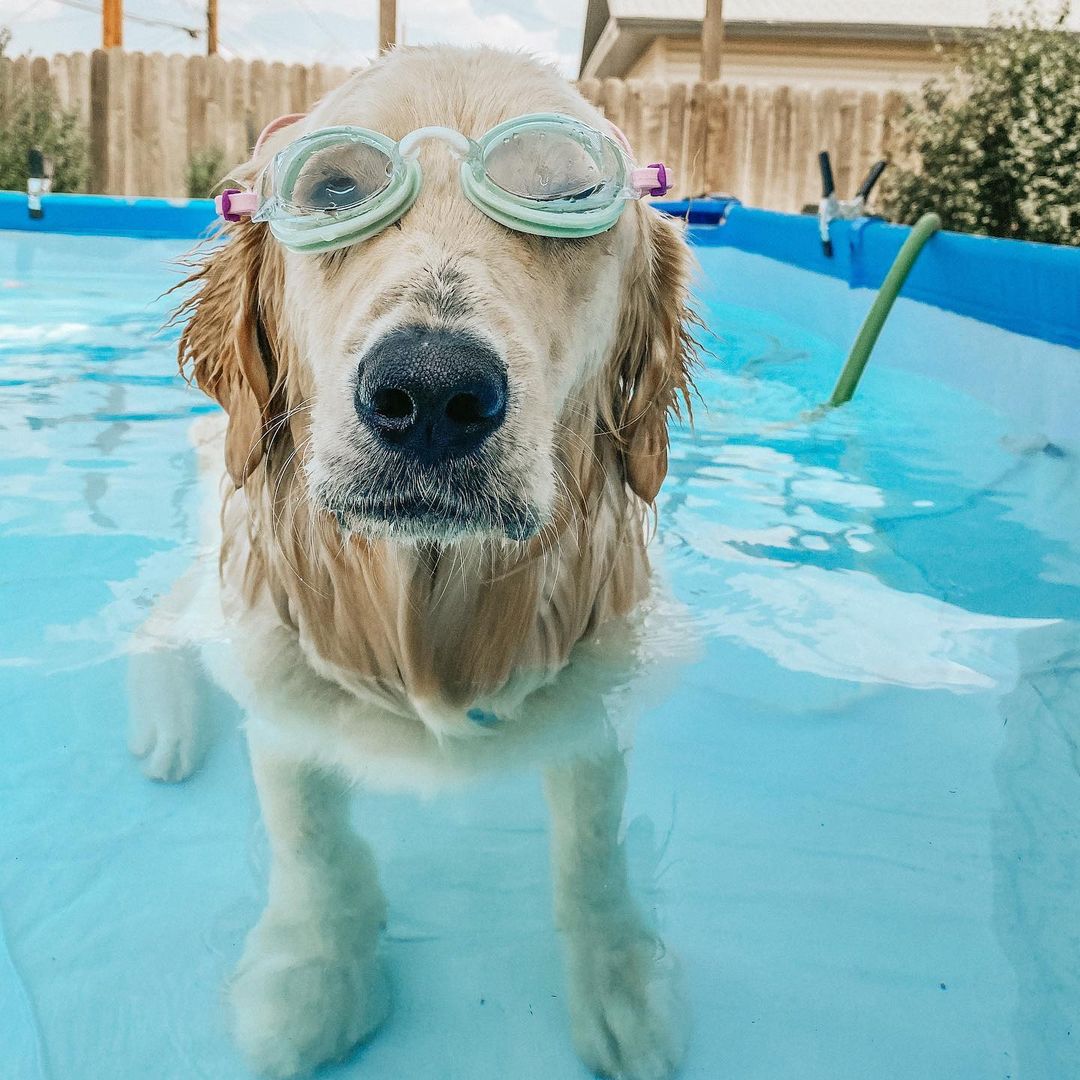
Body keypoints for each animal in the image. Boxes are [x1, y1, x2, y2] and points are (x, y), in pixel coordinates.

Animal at [128, 44, 691, 1080]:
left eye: (570, 196)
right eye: (335, 189)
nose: (431, 392)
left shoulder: (593, 692)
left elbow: (593, 841)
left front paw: (619, 973)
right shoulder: (281, 680)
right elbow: (313, 838)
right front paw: (314, 973)